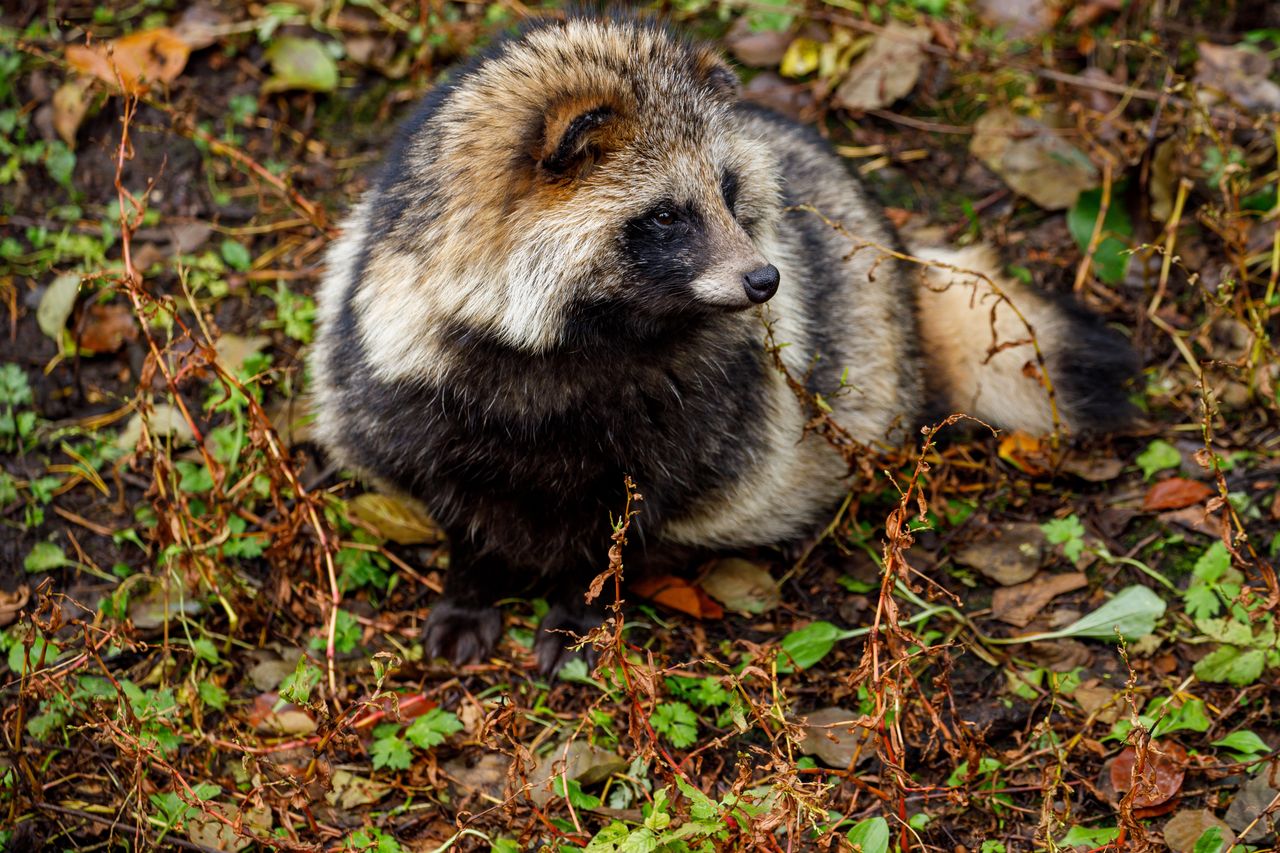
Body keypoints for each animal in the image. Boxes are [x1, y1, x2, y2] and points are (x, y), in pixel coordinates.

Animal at [312, 18, 1141, 671]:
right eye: (666, 215)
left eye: (730, 192)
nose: (766, 277)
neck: (585, 339)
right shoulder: (402, 376)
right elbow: (451, 498)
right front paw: (471, 581)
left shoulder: (709, 408)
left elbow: (626, 522)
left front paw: (579, 606)